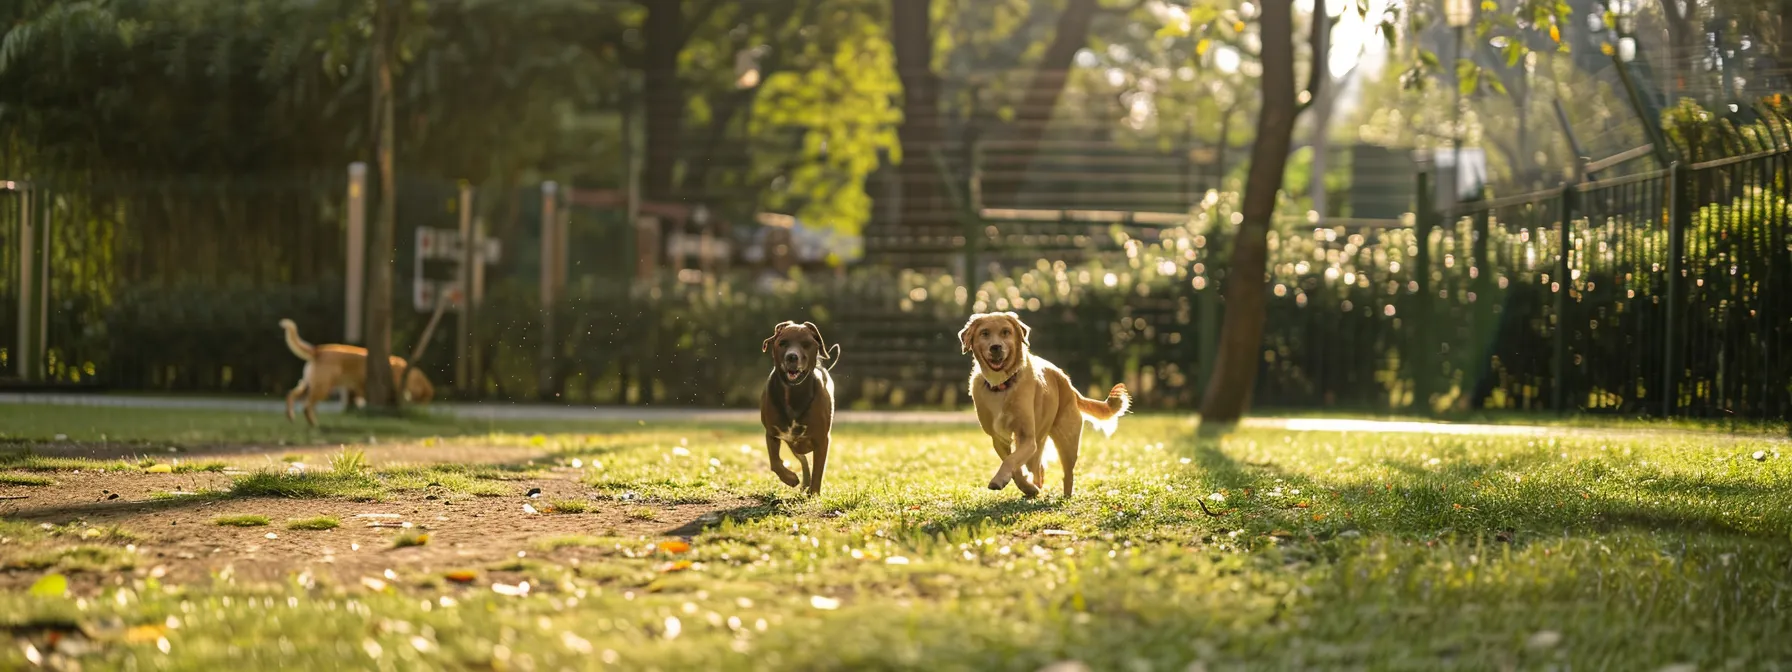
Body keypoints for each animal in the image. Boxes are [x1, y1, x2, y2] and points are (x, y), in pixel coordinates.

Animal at [279, 318, 433, 426]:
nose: (425, 410)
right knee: (306, 406)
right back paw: (313, 423)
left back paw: (291, 416)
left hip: (308, 385)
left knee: (290, 395)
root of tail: (318, 350)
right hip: (322, 387)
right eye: (425, 399)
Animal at [756, 320, 838, 494]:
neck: (793, 393)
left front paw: (814, 494)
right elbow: (775, 462)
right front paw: (790, 478)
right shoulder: (772, 433)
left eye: (806, 344)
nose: (792, 356)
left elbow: (818, 470)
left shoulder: (822, 439)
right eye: (783, 343)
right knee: (803, 459)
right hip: (793, 443)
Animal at [960, 313, 1125, 498]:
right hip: (1040, 442)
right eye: (985, 333)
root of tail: (1067, 383)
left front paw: (1002, 480)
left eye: (1006, 332)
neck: (1002, 385)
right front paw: (1026, 487)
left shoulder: (1027, 438)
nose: (996, 347)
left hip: (1066, 443)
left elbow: (1011, 460)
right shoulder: (999, 439)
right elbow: (1014, 465)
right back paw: (1034, 488)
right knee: (1038, 468)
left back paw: (1065, 497)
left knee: (1067, 474)